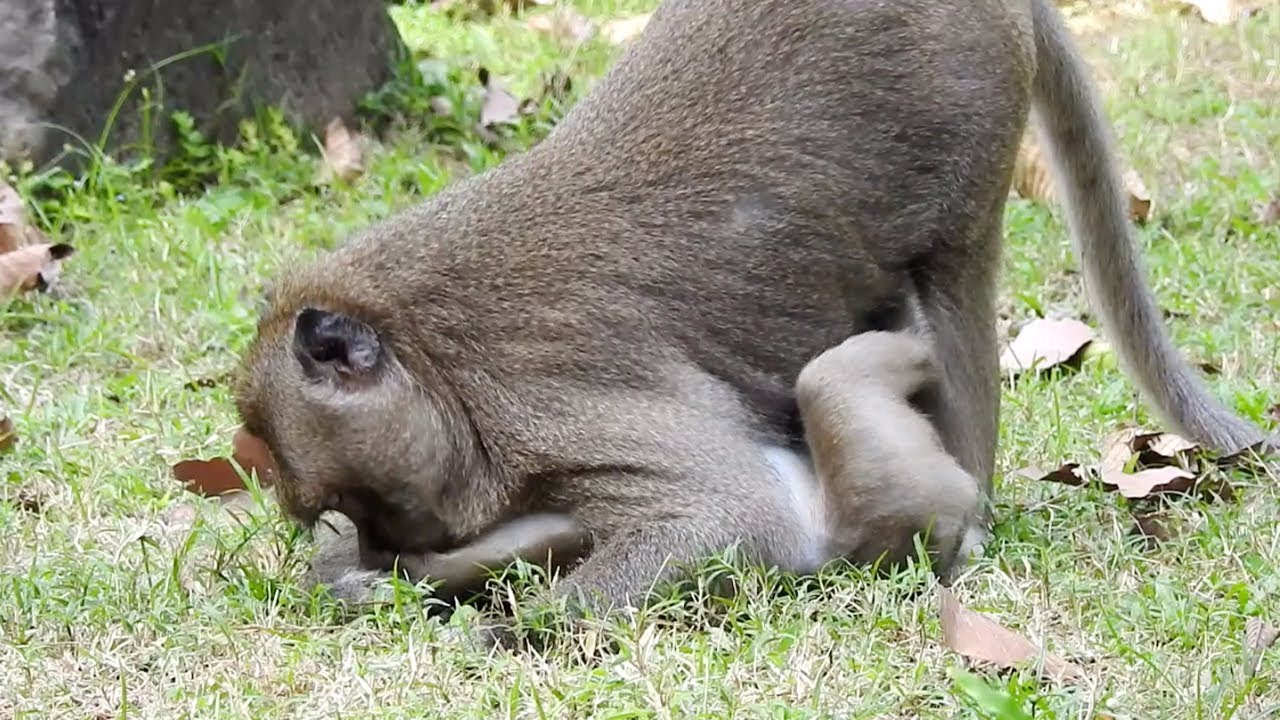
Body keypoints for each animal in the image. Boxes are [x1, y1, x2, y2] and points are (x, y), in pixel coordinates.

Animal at [236, 0, 1276, 618]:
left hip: (965, 106)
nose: (382, 541)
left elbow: (728, 513)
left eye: (372, 500)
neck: (429, 354)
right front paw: (365, 579)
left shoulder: (542, 405)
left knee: (944, 278)